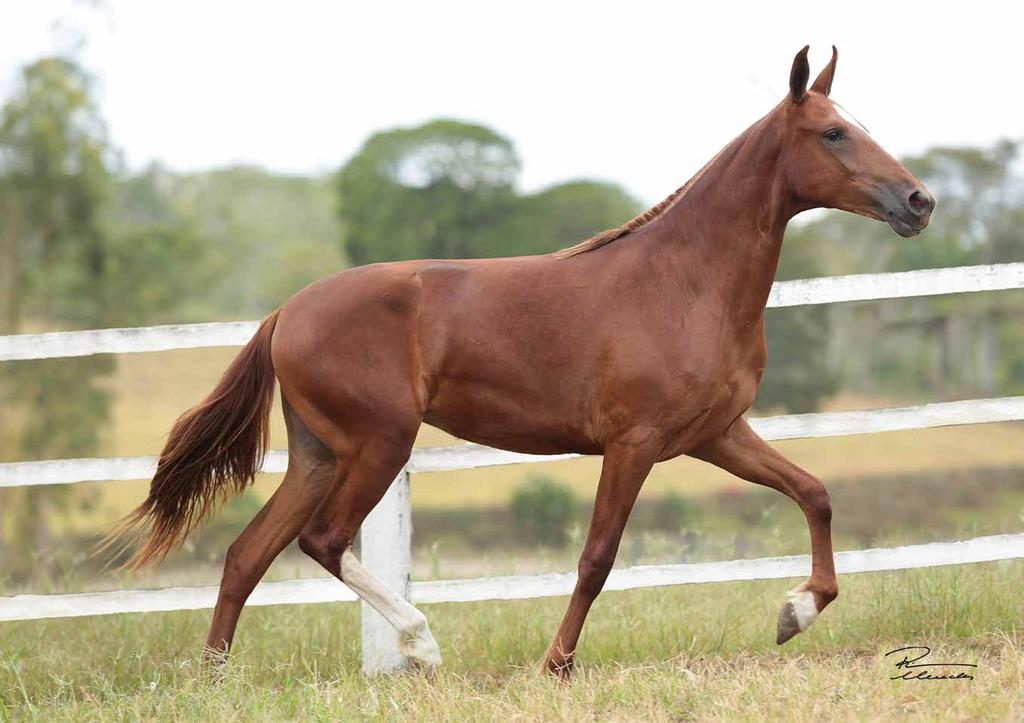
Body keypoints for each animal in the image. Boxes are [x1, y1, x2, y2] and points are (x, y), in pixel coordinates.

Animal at [105, 46, 937, 675]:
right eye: (833, 133)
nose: (918, 202)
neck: (683, 280)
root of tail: (285, 313)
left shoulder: (715, 434)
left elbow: (815, 493)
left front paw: (795, 611)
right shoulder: (633, 444)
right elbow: (598, 556)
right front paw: (556, 663)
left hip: (318, 454)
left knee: (247, 554)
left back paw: (214, 677)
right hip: (379, 443)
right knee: (322, 540)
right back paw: (422, 643)